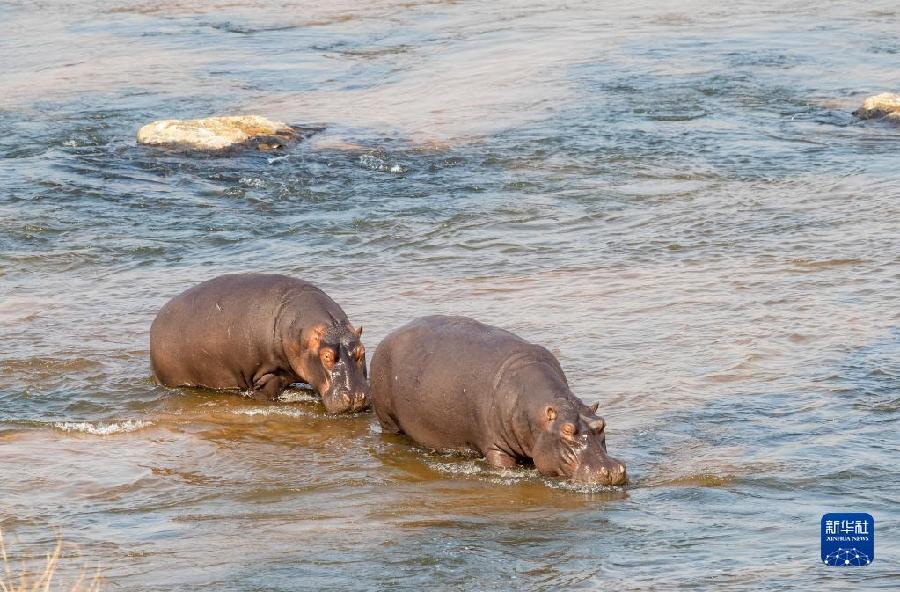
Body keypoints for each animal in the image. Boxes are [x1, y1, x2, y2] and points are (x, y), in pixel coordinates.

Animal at [370, 314, 628, 486]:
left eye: (601, 424)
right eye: (566, 430)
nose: (610, 470)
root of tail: (388, 336)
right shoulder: (495, 446)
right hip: (387, 420)